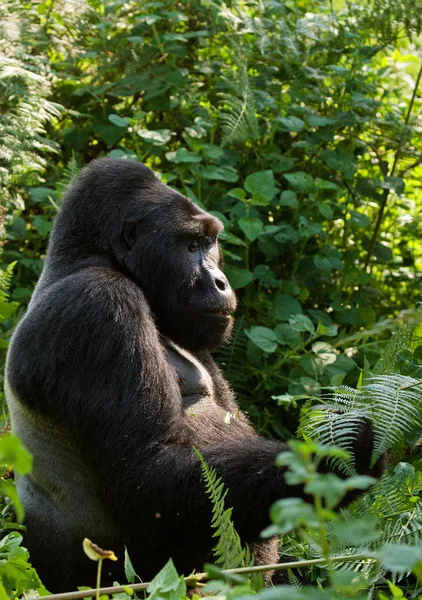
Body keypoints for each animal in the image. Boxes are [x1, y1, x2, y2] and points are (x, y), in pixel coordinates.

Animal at [4, 158, 384, 592]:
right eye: (189, 245)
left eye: (210, 243)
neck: (84, 258)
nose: (220, 282)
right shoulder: (98, 306)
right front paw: (343, 452)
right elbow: (151, 479)